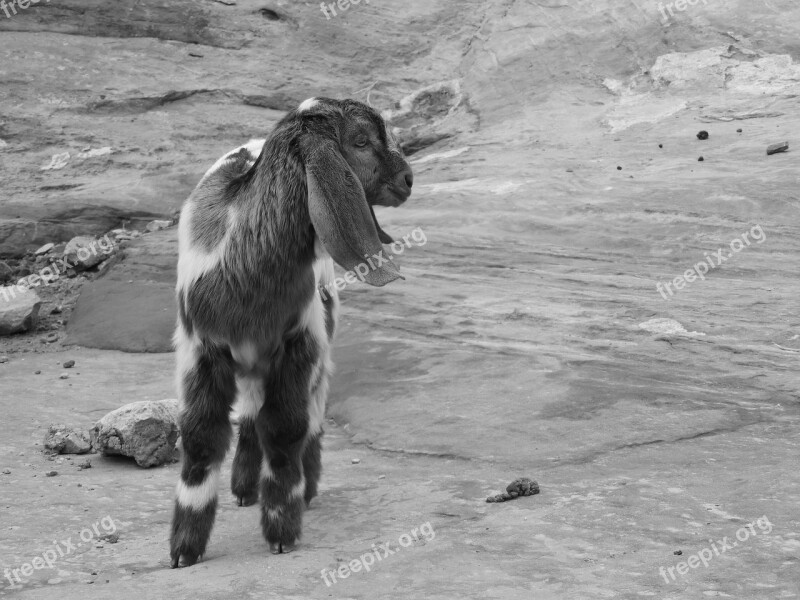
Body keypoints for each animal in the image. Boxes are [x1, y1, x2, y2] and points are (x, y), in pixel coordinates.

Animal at [171, 97, 416, 568]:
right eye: (360, 141)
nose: (408, 179)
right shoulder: (200, 349)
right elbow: (200, 437)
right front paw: (183, 549)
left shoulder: (301, 344)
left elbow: (285, 428)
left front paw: (282, 528)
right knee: (251, 410)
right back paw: (244, 488)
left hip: (318, 339)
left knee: (309, 412)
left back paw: (304, 485)